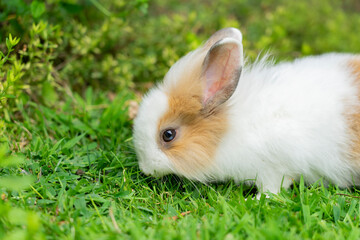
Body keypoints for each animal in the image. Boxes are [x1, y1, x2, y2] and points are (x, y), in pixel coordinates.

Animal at [132, 27, 360, 194]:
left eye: (168, 135)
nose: (145, 169)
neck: (226, 131)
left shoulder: (275, 168)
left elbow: (273, 188)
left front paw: (258, 199)